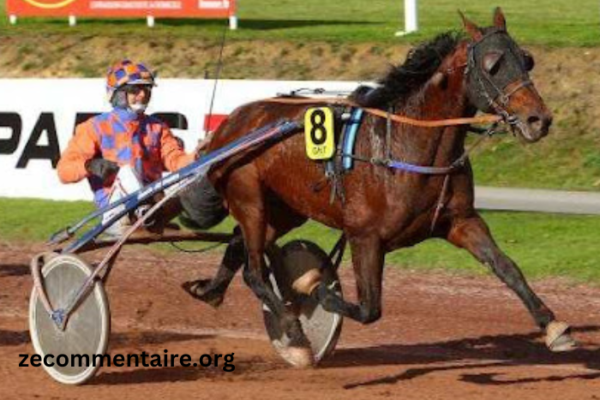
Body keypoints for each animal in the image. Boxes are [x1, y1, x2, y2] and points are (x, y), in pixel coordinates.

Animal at [184, 8, 576, 366]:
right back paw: (295, 336)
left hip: (285, 208)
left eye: (527, 60)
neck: (406, 145)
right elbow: (368, 307)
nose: (538, 119)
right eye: (494, 64)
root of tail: (229, 124)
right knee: (254, 270)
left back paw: (210, 290)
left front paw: (553, 326)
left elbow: (507, 267)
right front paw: (312, 286)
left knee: (243, 243)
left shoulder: (461, 221)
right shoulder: (365, 236)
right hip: (250, 197)